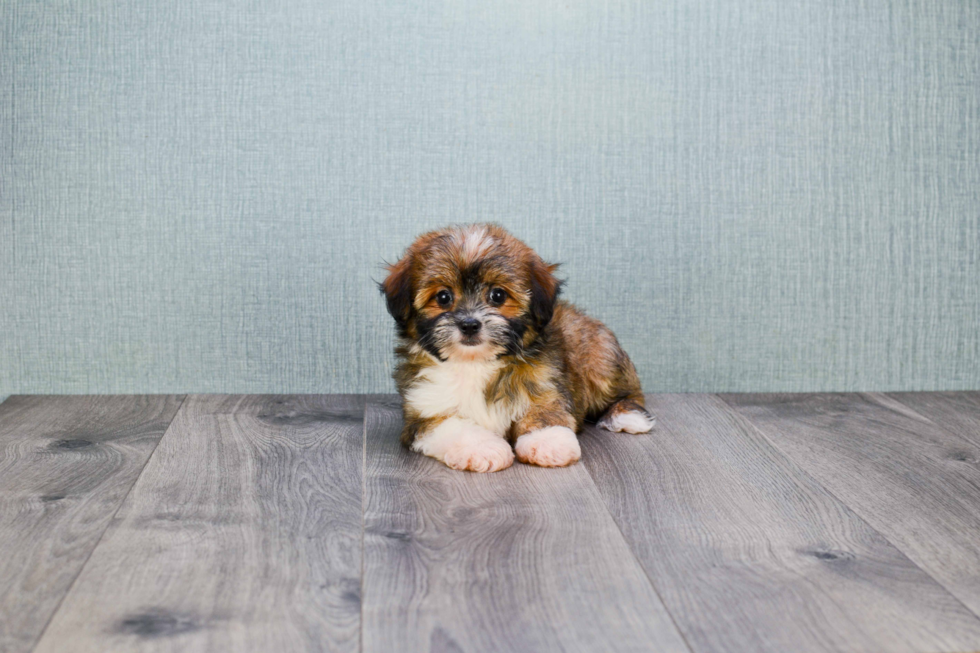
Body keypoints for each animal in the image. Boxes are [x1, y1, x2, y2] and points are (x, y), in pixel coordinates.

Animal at [378, 222, 656, 472]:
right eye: (443, 297)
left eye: (498, 295)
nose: (469, 324)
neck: (475, 363)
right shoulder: (422, 412)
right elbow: (452, 426)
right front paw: (483, 448)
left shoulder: (545, 384)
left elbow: (546, 411)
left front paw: (547, 441)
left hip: (600, 356)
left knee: (627, 391)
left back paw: (626, 415)